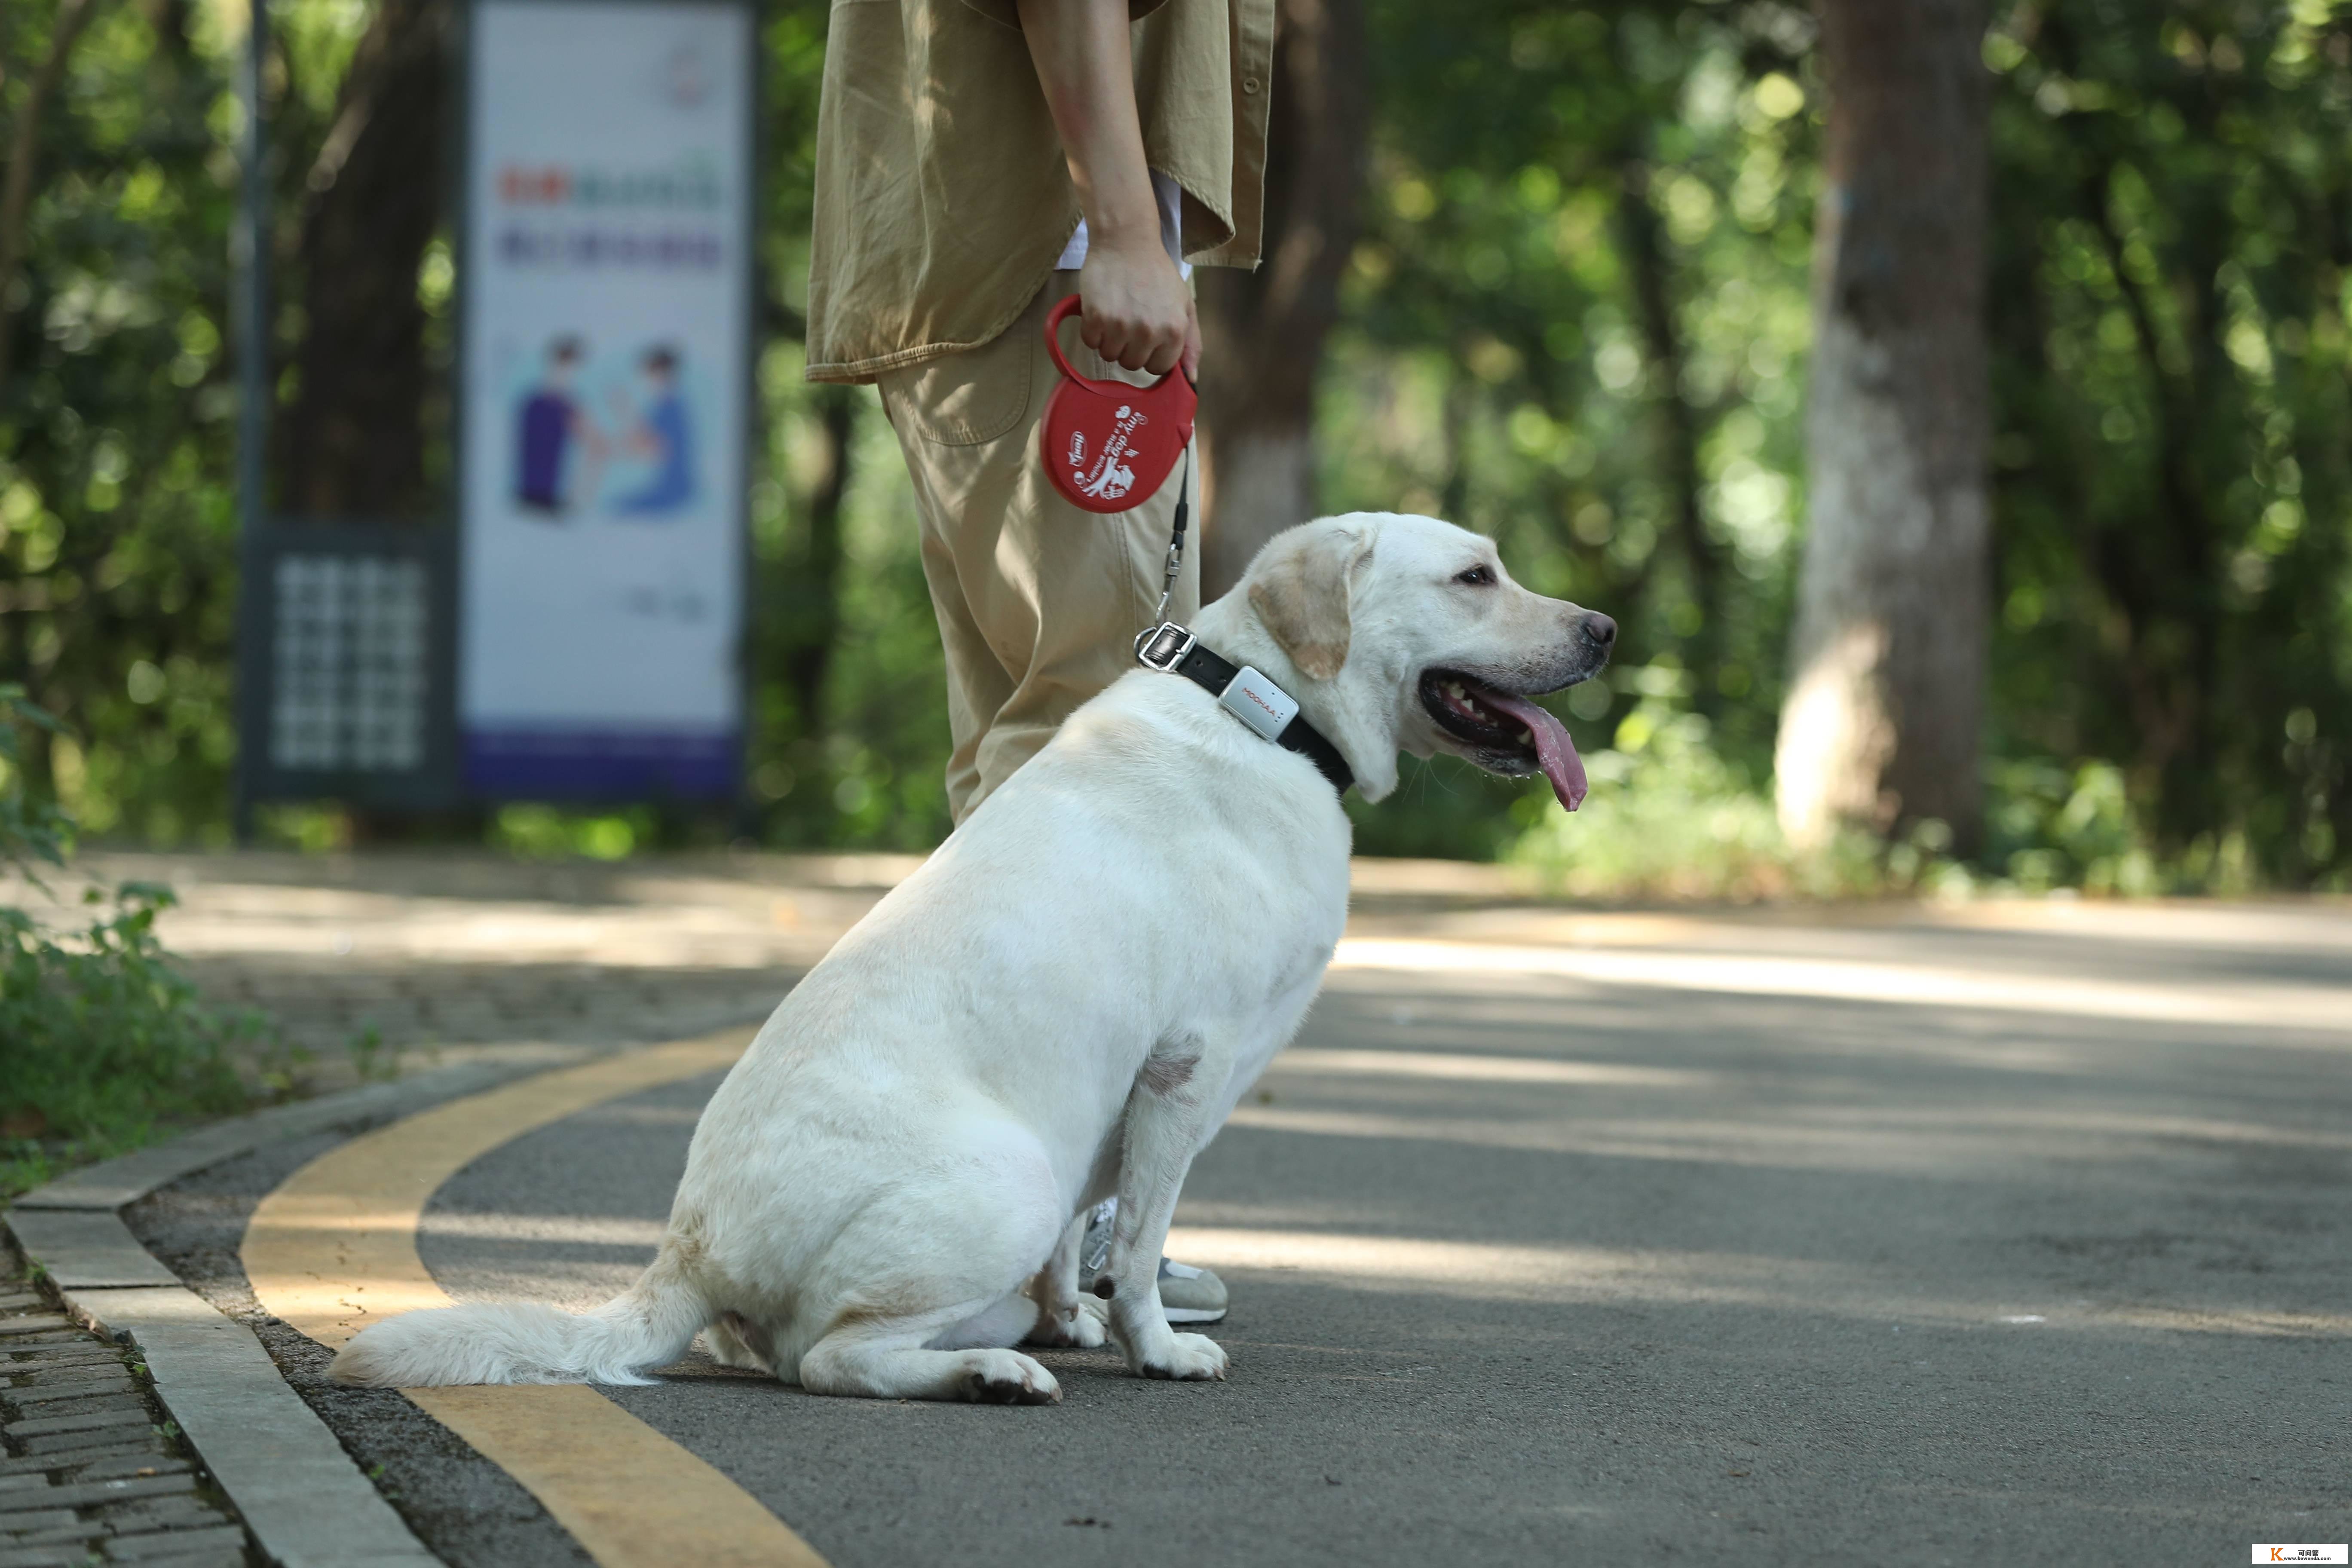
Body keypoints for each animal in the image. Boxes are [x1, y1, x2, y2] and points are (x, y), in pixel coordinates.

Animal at [331, 517, 1608, 1410]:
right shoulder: (1183, 1067)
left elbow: (1080, 1259)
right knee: (829, 1360)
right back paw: (989, 1376)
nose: (1602, 630)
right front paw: (1156, 1347)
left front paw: (1071, 1319)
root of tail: (686, 1251)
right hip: (1010, 1177)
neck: (1266, 714)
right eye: (1474, 577)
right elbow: (1141, 1240)